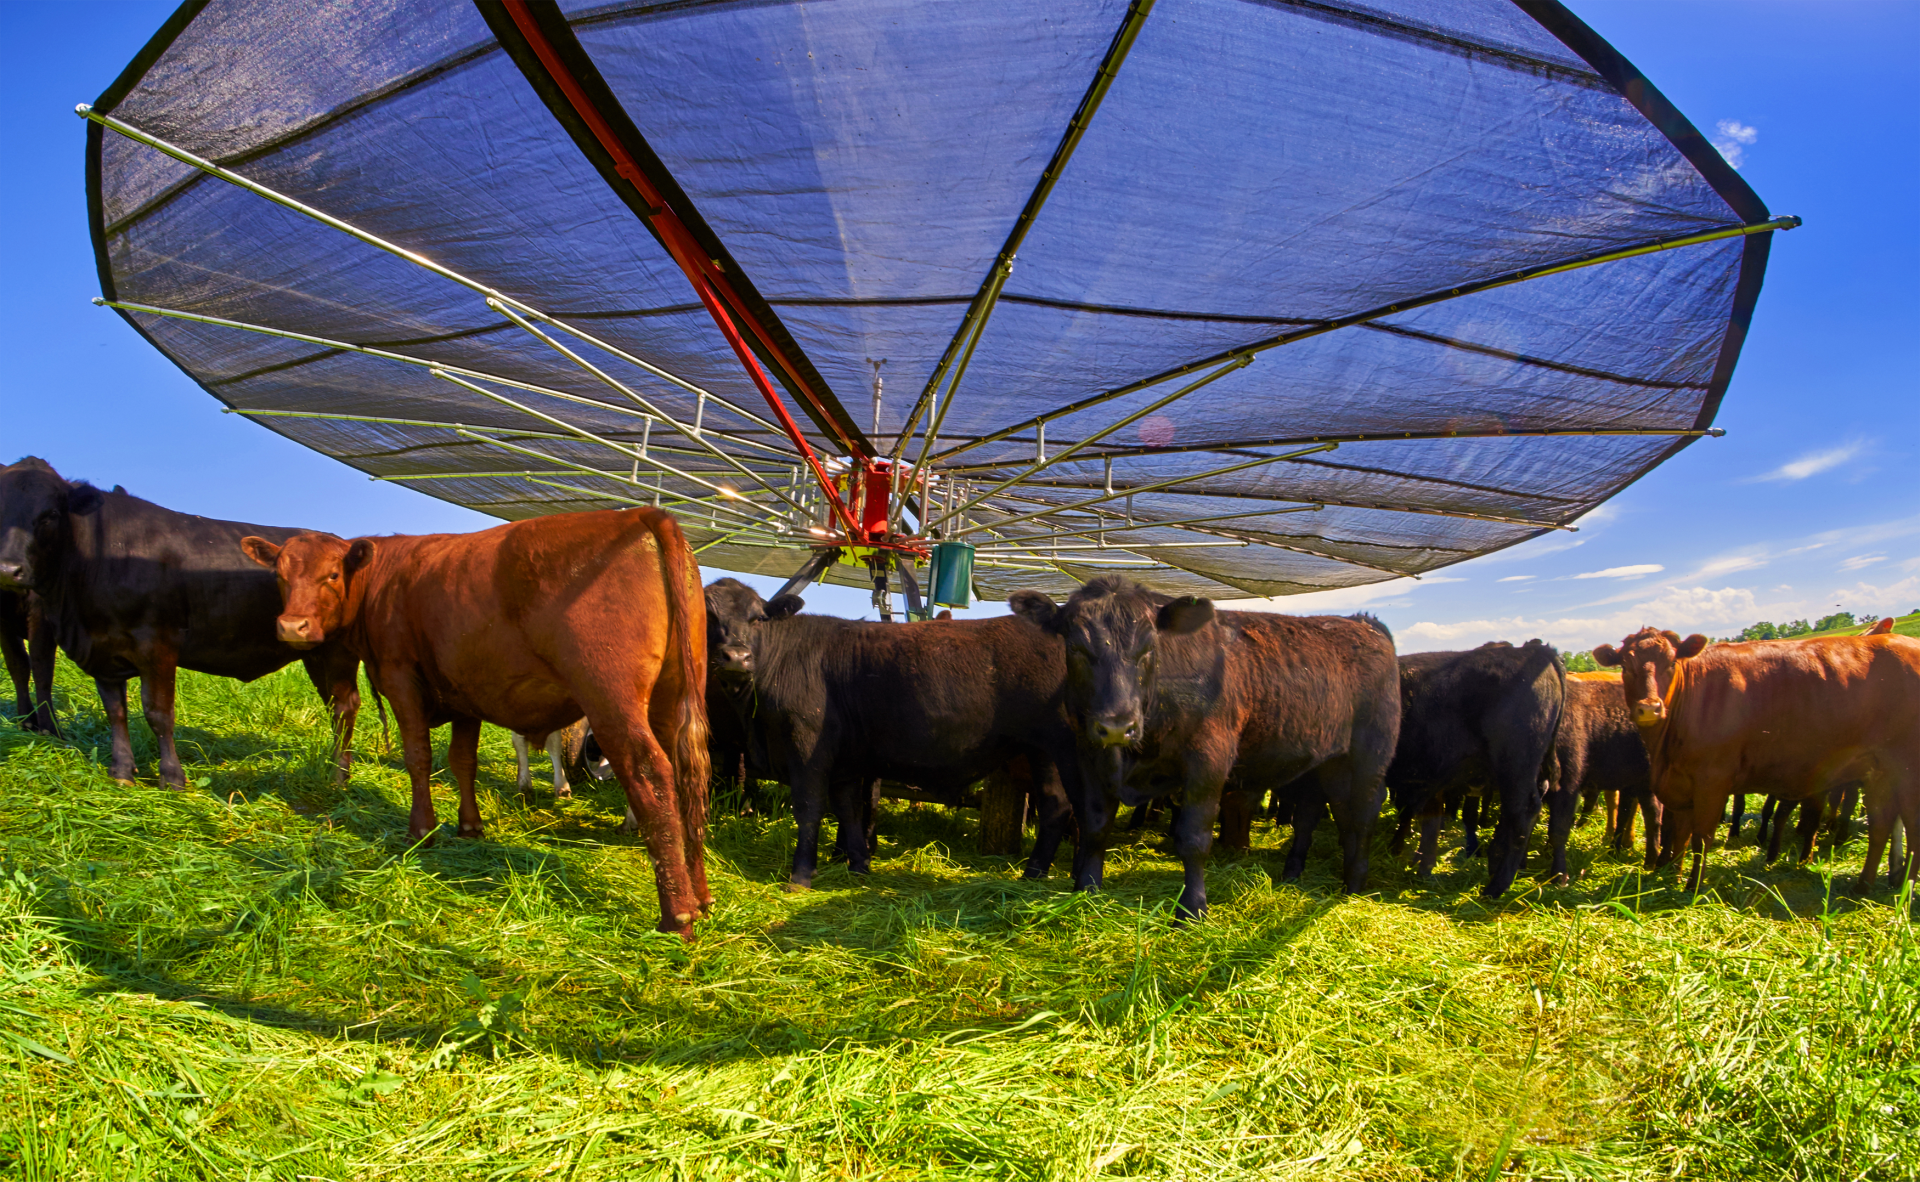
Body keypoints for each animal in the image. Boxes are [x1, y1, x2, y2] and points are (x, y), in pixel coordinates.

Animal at [0, 458, 360, 786]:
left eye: (50, 515)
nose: (8, 570)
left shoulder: (158, 644)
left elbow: (158, 713)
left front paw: (172, 778)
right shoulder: (103, 651)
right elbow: (116, 712)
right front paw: (121, 772)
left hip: (337, 651)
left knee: (344, 704)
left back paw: (338, 777)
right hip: (313, 651)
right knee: (332, 704)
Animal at [245, 506, 714, 940]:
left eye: (331, 575)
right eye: (280, 575)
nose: (292, 626)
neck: (384, 579)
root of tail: (641, 513)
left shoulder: (400, 676)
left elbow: (418, 756)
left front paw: (422, 831)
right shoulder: (464, 692)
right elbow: (462, 762)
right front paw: (470, 827)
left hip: (611, 699)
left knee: (650, 776)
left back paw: (677, 916)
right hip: (673, 699)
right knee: (688, 778)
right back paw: (701, 896)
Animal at [1013, 575, 1405, 917]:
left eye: (1149, 649)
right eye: (1075, 647)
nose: (1117, 726)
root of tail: (1362, 623)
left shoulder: (1209, 759)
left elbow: (1194, 837)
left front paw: (1192, 908)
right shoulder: (1089, 754)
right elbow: (1095, 825)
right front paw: (1086, 891)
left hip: (1372, 753)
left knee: (1365, 811)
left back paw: (1354, 886)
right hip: (1329, 761)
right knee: (1333, 812)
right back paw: (1321, 878)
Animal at [1589, 621, 1920, 890]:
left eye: (1671, 662)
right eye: (1625, 665)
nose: (1649, 708)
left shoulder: (1713, 780)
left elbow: (1701, 836)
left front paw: (1693, 886)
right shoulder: (1680, 783)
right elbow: (1680, 833)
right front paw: (1672, 874)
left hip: (1907, 771)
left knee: (1911, 827)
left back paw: (1904, 886)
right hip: (1879, 772)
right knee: (1881, 827)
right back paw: (1865, 886)